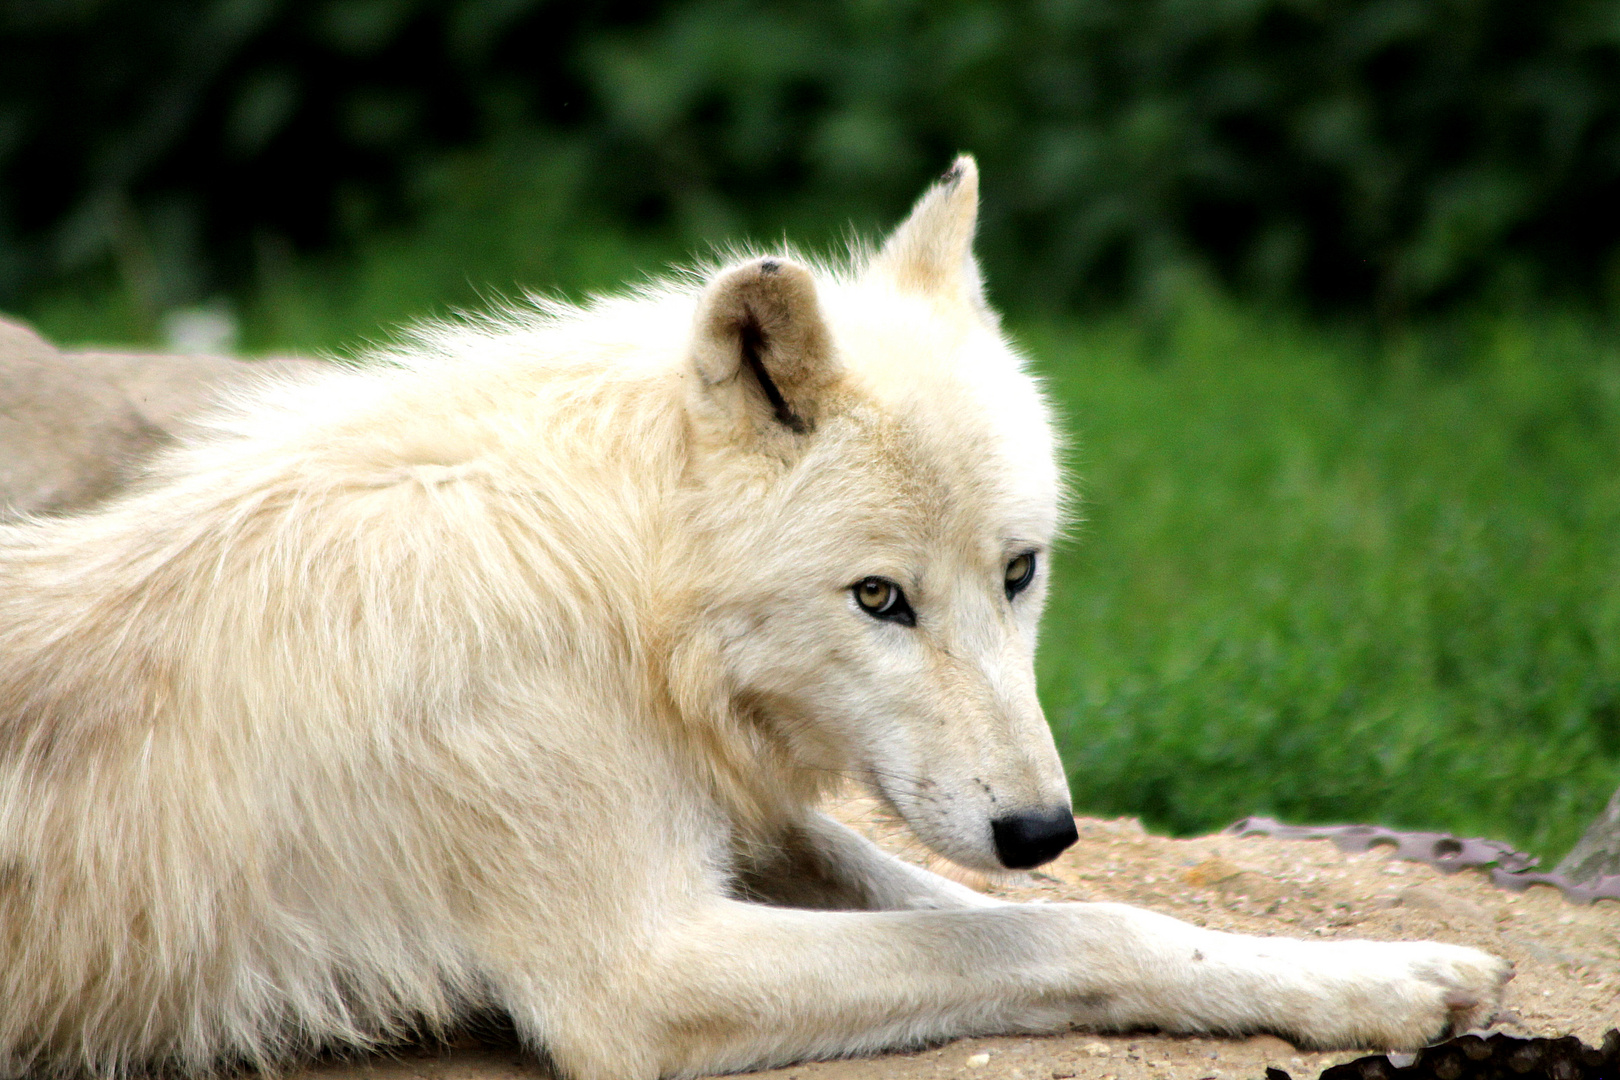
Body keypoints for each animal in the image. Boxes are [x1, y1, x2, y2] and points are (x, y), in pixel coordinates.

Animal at [0, 156, 1503, 1075]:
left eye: (1020, 572)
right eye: (881, 598)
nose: (1042, 830)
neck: (614, 591)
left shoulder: (736, 824)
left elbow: (1035, 909)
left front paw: (1382, 980)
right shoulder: (637, 974)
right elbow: (1054, 932)